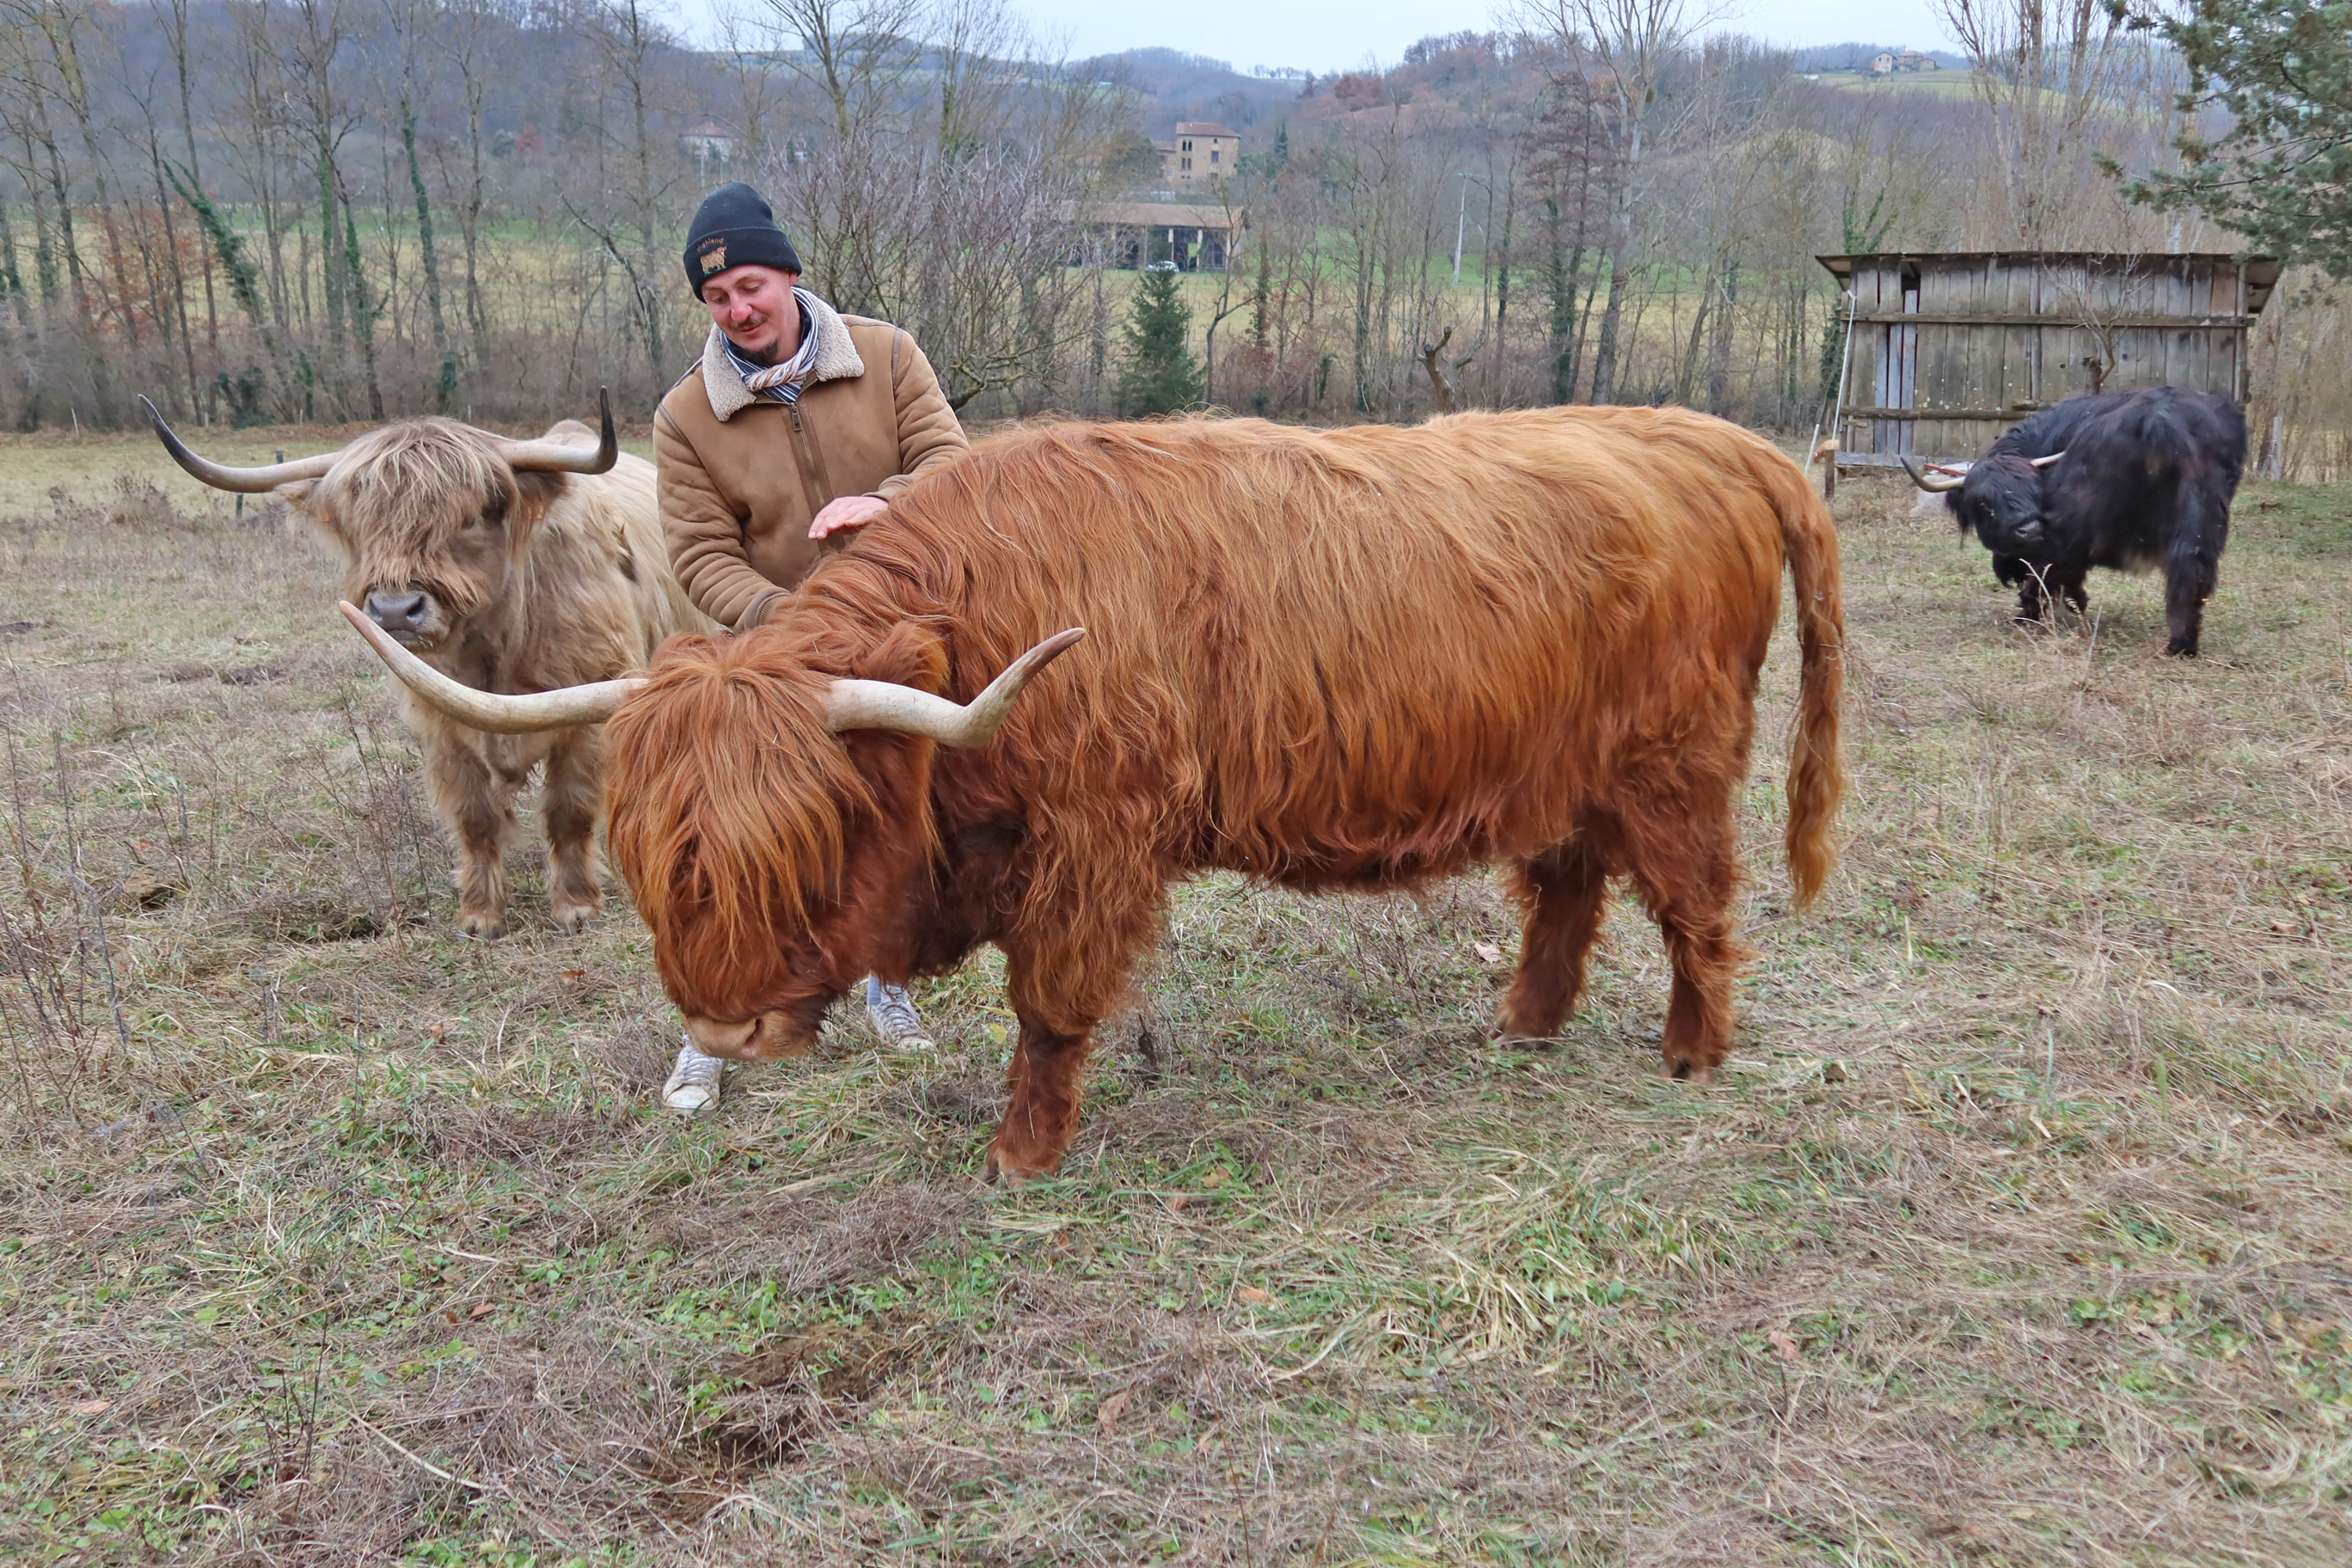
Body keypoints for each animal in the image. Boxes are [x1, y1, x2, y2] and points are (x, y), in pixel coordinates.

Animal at [1900, 385, 2248, 658]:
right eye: (1986, 505)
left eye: (2033, 492)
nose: (2029, 529)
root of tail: (2164, 418)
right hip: (2204, 513)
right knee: (2192, 570)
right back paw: (2182, 643)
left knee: (2054, 562)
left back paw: (2030, 613)